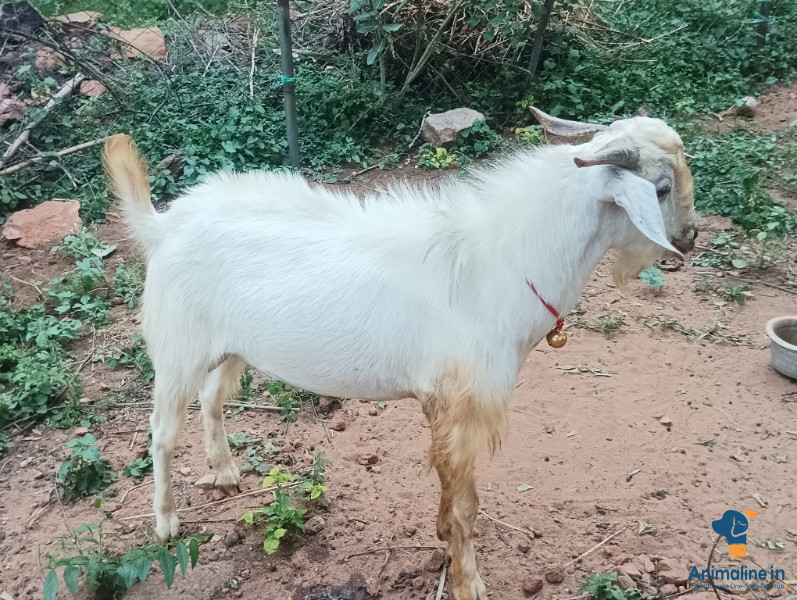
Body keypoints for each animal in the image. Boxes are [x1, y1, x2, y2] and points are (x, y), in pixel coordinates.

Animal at [102, 108, 697, 600]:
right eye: (662, 187)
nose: (691, 238)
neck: (504, 260)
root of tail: (164, 225)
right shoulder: (461, 403)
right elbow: (467, 504)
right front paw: (469, 583)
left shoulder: (443, 406)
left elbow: (450, 489)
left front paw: (441, 537)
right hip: (177, 347)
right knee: (162, 432)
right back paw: (166, 522)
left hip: (231, 347)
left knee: (212, 399)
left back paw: (226, 472)